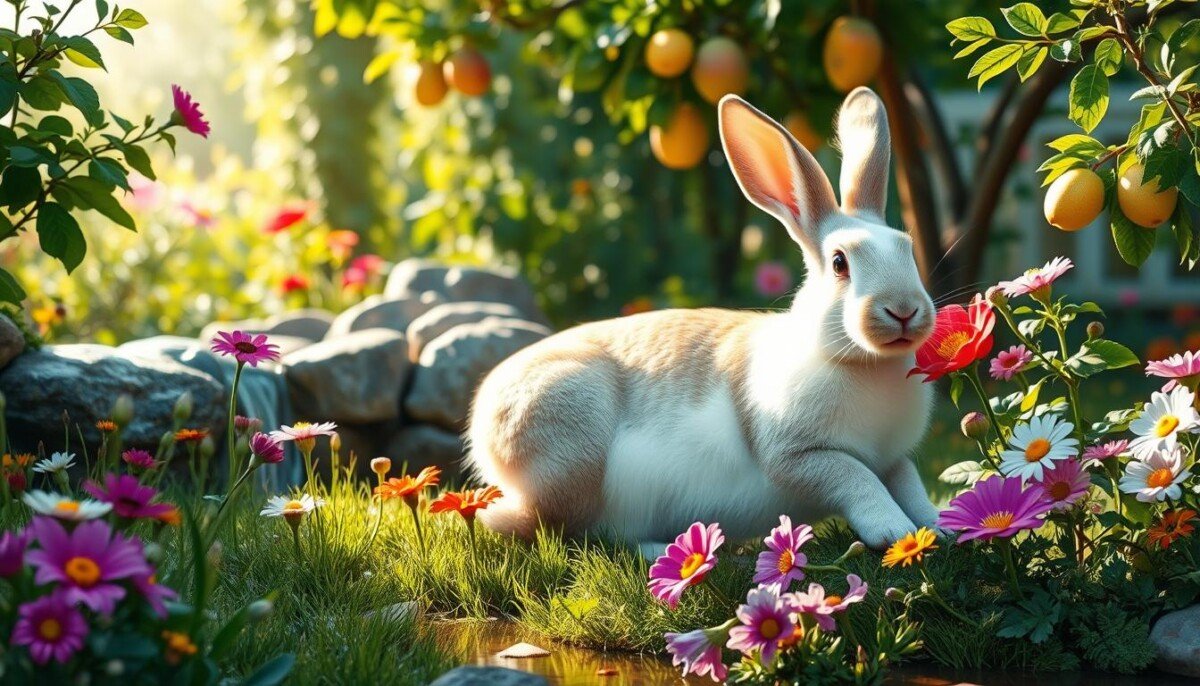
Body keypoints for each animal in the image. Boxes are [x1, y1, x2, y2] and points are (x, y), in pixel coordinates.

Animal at [465, 87, 940, 550]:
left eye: (906, 248)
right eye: (840, 263)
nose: (903, 310)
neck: (860, 360)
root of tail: (482, 426)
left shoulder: (893, 460)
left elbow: (908, 484)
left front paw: (938, 526)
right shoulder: (799, 456)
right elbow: (856, 480)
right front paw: (893, 532)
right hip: (575, 455)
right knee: (566, 532)